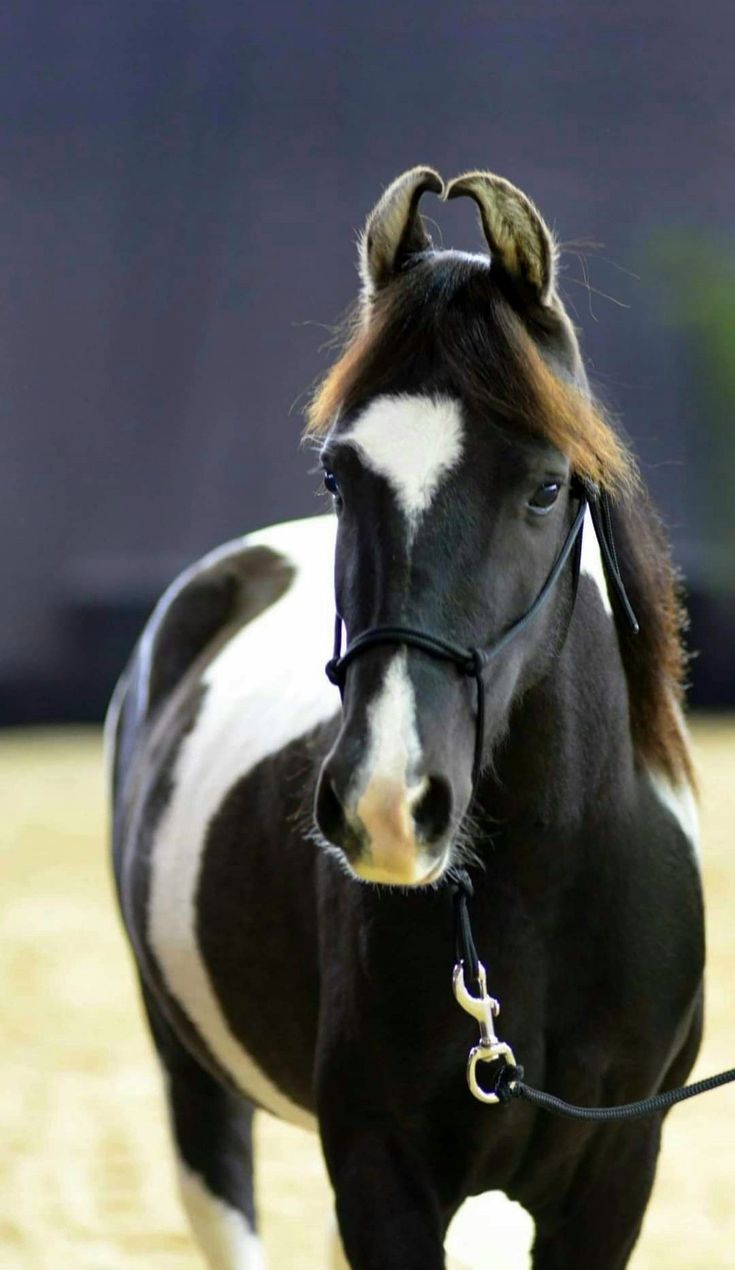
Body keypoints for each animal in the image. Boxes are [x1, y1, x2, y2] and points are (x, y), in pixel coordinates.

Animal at [108, 167, 705, 1269]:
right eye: (337, 475)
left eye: (546, 486)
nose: (386, 804)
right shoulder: (382, 1169)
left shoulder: (615, 1173)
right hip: (195, 1084)